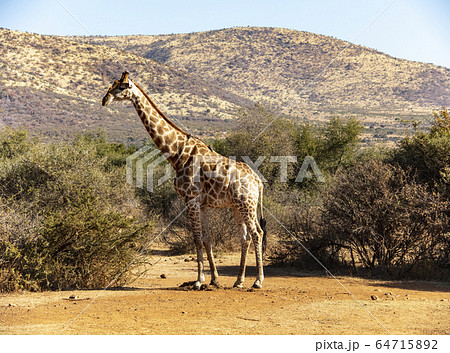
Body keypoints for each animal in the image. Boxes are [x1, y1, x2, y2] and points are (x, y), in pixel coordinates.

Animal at [102, 72, 268, 288]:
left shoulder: (191, 200)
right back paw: (239, 281)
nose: (105, 99)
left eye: (122, 87)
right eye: (113, 84)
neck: (176, 154)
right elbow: (206, 238)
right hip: (238, 205)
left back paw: (257, 281)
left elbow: (196, 239)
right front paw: (214, 279)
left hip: (246, 203)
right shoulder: (202, 204)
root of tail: (258, 181)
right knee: (245, 236)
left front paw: (198, 281)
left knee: (257, 233)